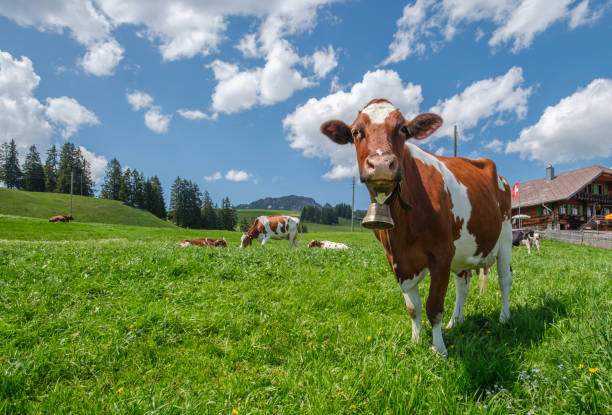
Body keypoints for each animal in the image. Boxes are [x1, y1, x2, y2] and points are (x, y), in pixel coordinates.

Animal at [320, 99, 512, 356]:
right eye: (355, 132)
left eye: (403, 128)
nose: (381, 165)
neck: (402, 229)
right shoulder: (397, 260)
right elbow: (413, 307)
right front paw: (415, 340)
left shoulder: (441, 254)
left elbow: (434, 306)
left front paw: (439, 349)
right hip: (463, 250)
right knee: (463, 283)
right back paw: (455, 321)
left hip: (505, 237)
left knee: (504, 279)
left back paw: (504, 317)